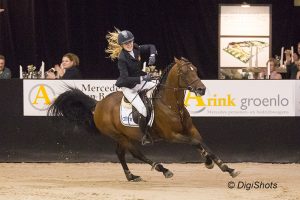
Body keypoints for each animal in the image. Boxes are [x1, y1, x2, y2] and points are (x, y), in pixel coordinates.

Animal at [48, 57, 240, 181]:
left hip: (123, 136)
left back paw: (131, 176)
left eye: (196, 70)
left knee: (120, 154)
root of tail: (98, 105)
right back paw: (162, 169)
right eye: (185, 73)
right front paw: (209, 163)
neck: (172, 106)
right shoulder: (172, 136)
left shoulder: (191, 130)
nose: (202, 89)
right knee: (135, 153)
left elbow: (202, 143)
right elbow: (195, 142)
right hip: (119, 136)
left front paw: (226, 167)